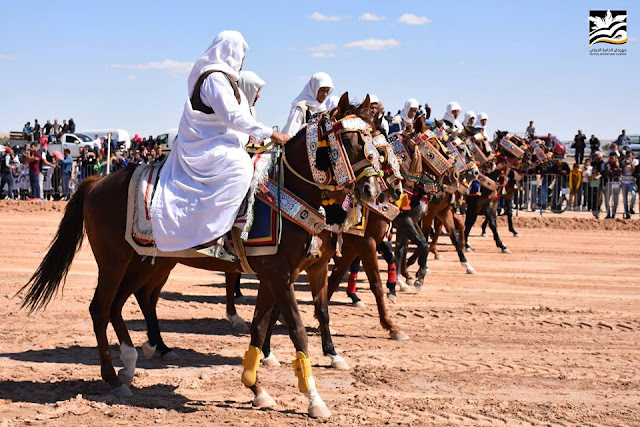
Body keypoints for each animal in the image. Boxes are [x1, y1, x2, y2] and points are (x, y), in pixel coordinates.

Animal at [18, 94, 376, 422]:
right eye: (350, 139)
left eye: (374, 137)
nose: (373, 190)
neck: (284, 194)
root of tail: (96, 182)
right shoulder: (280, 274)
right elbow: (298, 331)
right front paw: (315, 400)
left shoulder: (273, 275)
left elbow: (260, 328)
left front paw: (256, 387)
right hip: (113, 262)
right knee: (100, 308)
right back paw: (112, 375)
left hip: (143, 262)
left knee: (120, 304)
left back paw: (130, 364)